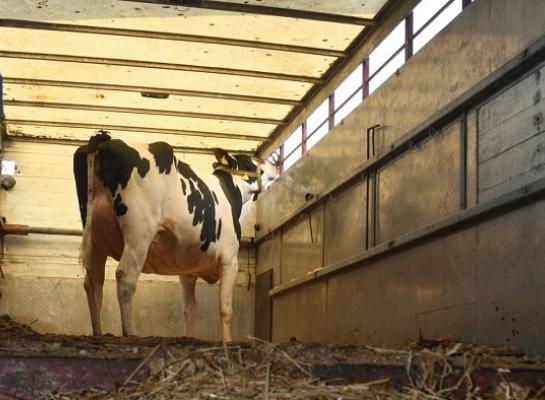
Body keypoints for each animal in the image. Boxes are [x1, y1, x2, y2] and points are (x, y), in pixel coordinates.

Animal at [72, 131, 276, 340]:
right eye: (249, 163)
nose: (274, 167)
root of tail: (105, 139)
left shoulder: (187, 271)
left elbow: (190, 310)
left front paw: (189, 338)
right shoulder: (230, 259)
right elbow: (225, 310)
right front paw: (227, 341)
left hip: (96, 239)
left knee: (93, 284)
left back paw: (98, 333)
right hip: (138, 234)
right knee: (125, 277)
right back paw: (130, 333)